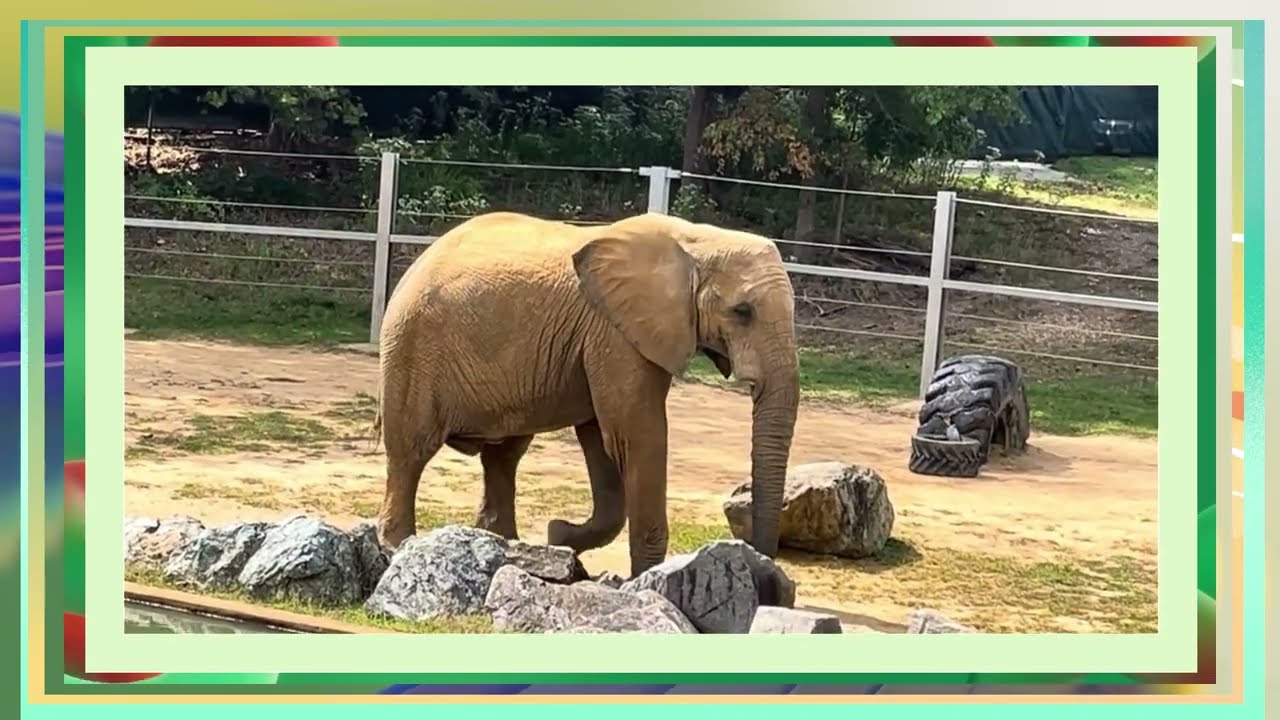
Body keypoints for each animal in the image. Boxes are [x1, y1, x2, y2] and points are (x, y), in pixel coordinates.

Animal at [373, 210, 800, 578]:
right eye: (742, 311)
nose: (765, 566)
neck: (697, 239)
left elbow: (604, 439)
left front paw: (558, 536)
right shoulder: (615, 333)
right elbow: (636, 435)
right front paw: (642, 579)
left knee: (503, 456)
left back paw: (504, 546)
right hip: (413, 348)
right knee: (411, 450)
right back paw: (399, 547)